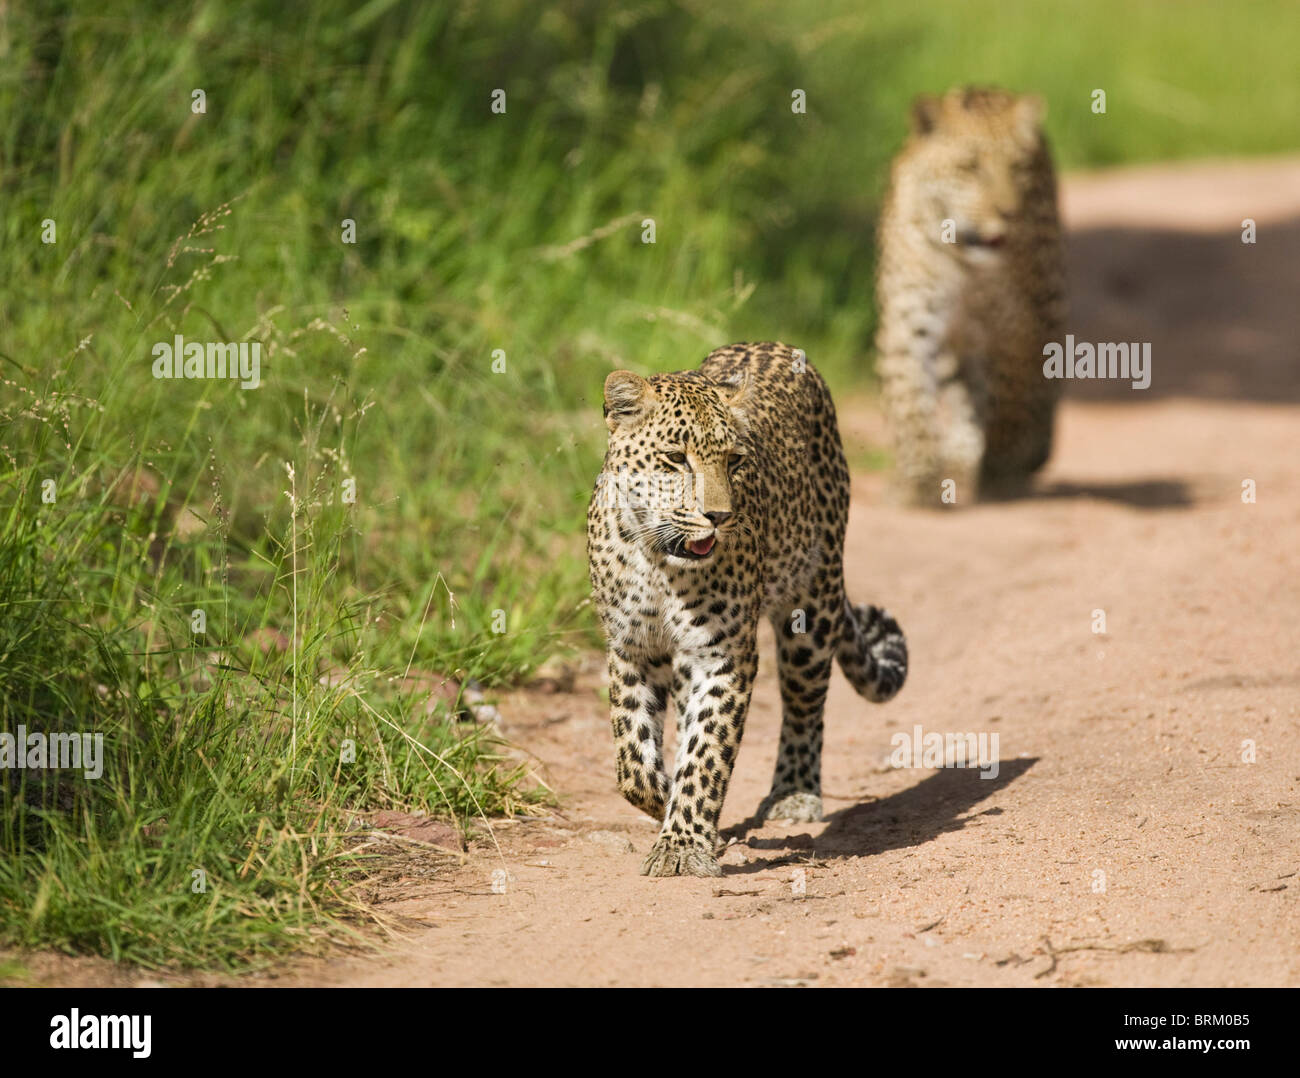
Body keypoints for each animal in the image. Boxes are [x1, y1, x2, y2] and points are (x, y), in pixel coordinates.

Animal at [587, 343, 904, 873]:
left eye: (735, 460)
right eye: (675, 459)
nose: (719, 516)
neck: (658, 562)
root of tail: (775, 346)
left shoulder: (724, 653)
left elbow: (707, 752)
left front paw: (683, 844)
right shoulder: (631, 646)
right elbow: (631, 757)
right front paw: (665, 800)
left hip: (813, 608)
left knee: (804, 705)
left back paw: (794, 794)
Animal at [873, 86, 1066, 507]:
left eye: (1017, 167)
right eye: (970, 167)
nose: (1009, 212)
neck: (963, 260)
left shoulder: (1014, 327)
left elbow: (1009, 400)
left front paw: (999, 467)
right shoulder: (908, 322)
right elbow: (911, 398)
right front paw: (919, 479)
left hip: (1044, 295)